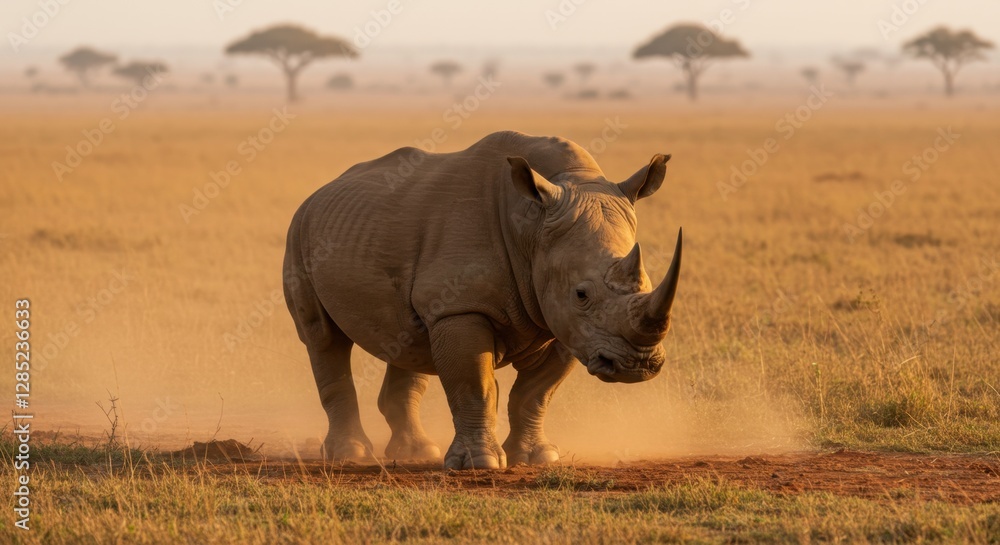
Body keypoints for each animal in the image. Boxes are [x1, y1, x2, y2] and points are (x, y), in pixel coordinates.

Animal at [283, 130, 681, 470]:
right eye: (581, 294)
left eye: (647, 282)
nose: (637, 365)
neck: (532, 227)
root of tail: (319, 192)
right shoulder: (462, 307)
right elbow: (476, 385)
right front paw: (481, 463)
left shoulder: (566, 324)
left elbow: (535, 393)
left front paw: (537, 458)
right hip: (298, 231)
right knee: (323, 338)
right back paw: (350, 455)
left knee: (410, 338)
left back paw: (416, 452)